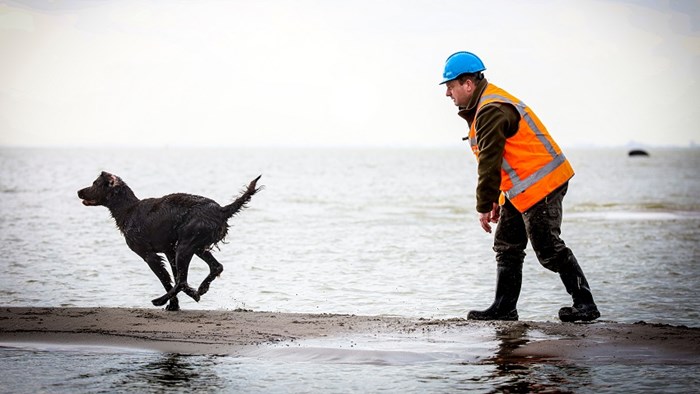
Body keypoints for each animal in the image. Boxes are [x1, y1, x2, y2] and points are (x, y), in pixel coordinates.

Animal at [76, 172, 262, 310]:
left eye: (94, 183)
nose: (78, 191)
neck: (128, 210)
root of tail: (222, 210)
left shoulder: (149, 255)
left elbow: (166, 280)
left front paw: (174, 303)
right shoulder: (168, 250)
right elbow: (173, 276)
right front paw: (179, 302)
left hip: (185, 246)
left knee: (183, 280)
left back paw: (162, 299)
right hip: (195, 247)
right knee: (215, 267)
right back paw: (201, 288)